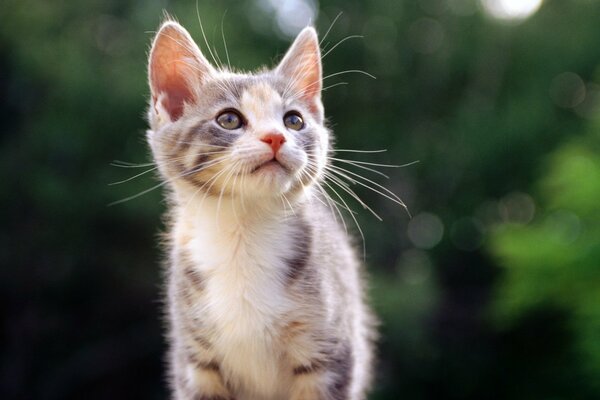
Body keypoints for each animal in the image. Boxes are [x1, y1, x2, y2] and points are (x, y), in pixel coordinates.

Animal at [146, 18, 376, 400]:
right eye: (228, 119)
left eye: (294, 121)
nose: (275, 137)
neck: (243, 232)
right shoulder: (194, 361)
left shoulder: (330, 352)